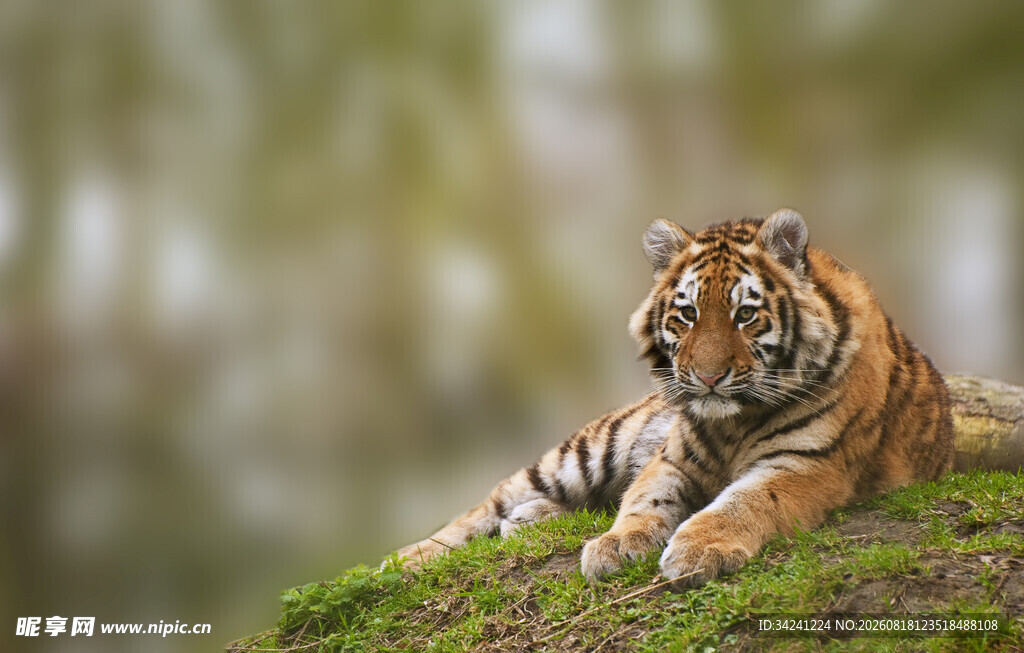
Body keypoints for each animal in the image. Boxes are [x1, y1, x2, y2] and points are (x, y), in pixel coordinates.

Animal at [394, 208, 953, 587]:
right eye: (687, 313)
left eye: (744, 314)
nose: (707, 377)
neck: (733, 420)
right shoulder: (671, 458)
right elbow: (644, 499)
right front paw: (618, 544)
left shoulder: (807, 464)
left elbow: (744, 501)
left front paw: (698, 550)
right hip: (589, 449)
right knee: (488, 503)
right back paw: (402, 559)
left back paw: (529, 520)